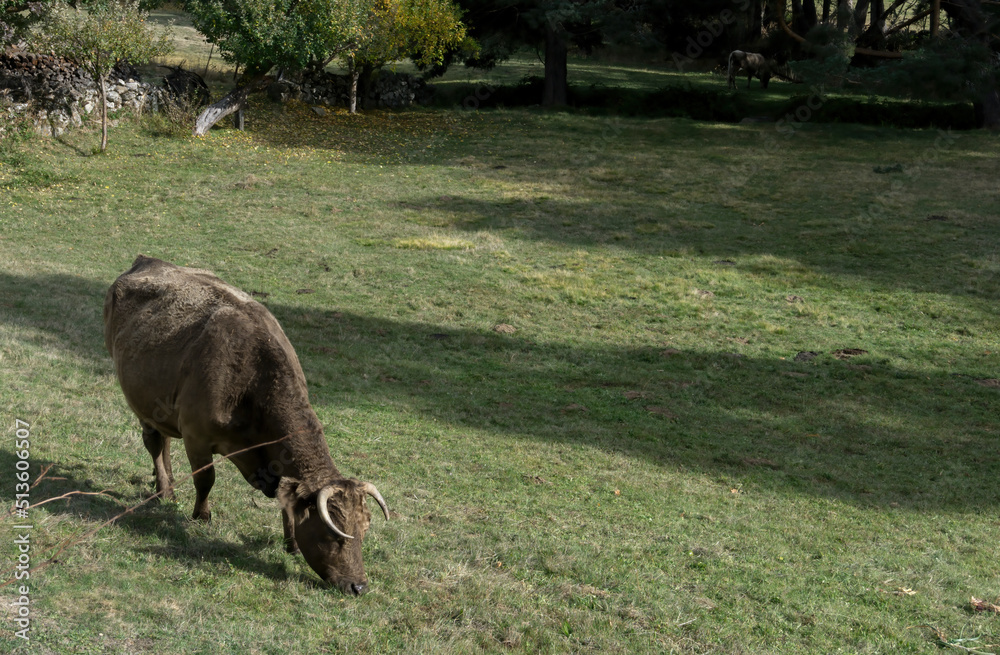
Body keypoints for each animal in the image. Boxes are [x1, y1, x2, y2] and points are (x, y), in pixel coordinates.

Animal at [103, 255, 388, 596]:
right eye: (333, 534)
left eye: (363, 530)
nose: (359, 586)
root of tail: (147, 260)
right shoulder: (196, 436)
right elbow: (206, 480)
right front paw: (201, 517)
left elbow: (286, 499)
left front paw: (291, 543)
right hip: (138, 398)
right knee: (154, 442)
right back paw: (164, 490)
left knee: (164, 441)